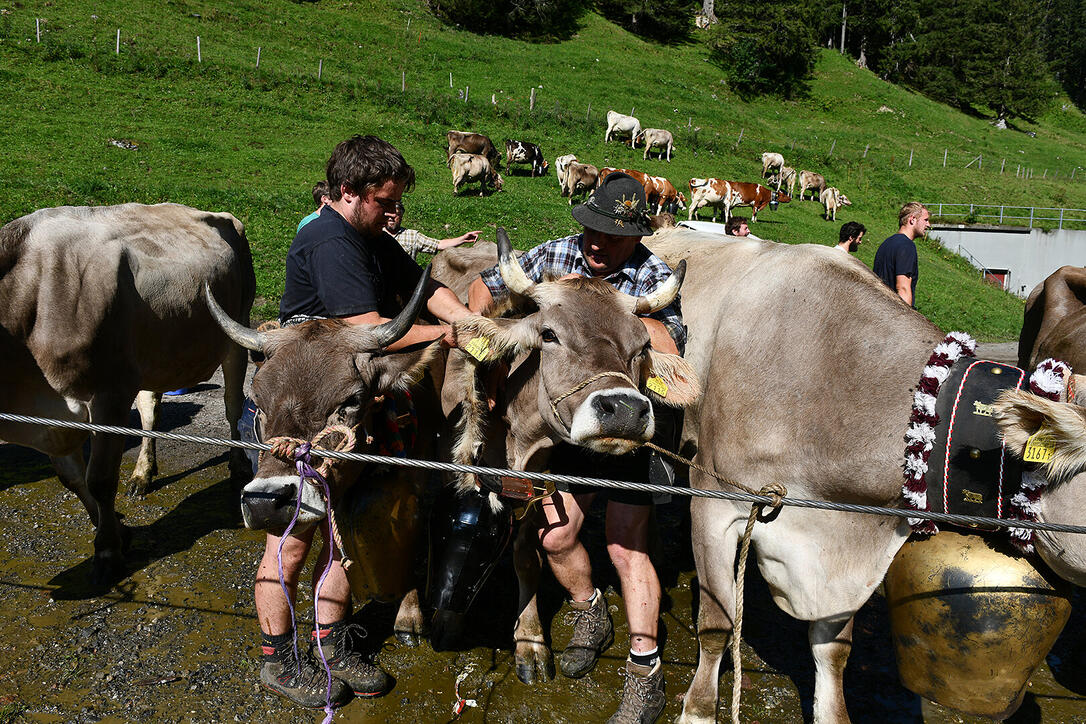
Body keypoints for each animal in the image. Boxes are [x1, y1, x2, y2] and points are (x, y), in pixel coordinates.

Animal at [0, 205, 256, 581]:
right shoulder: (54, 412)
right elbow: (72, 478)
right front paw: (119, 532)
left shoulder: (110, 395)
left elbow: (100, 479)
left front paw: (108, 550)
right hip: (155, 352)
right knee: (150, 409)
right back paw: (142, 474)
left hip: (237, 327)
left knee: (233, 406)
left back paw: (237, 464)